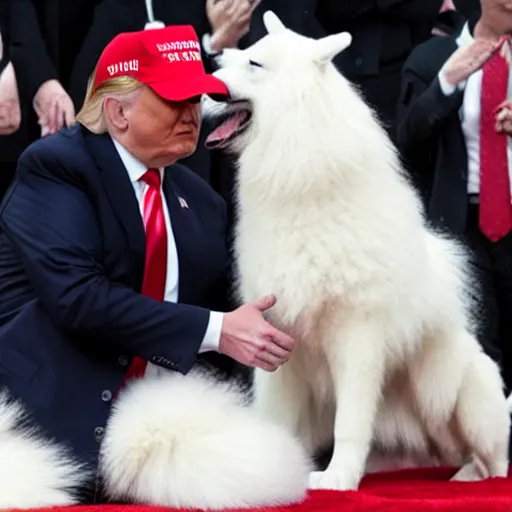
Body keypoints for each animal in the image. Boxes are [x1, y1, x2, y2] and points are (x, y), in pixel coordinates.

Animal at [204, 11, 512, 492]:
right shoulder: (275, 331)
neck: (299, 177)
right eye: (239, 55)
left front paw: (337, 480)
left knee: (494, 459)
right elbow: (273, 417)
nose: (203, 82)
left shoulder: (358, 333)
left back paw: (477, 482)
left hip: (458, 393)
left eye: (253, 64)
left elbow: (349, 422)